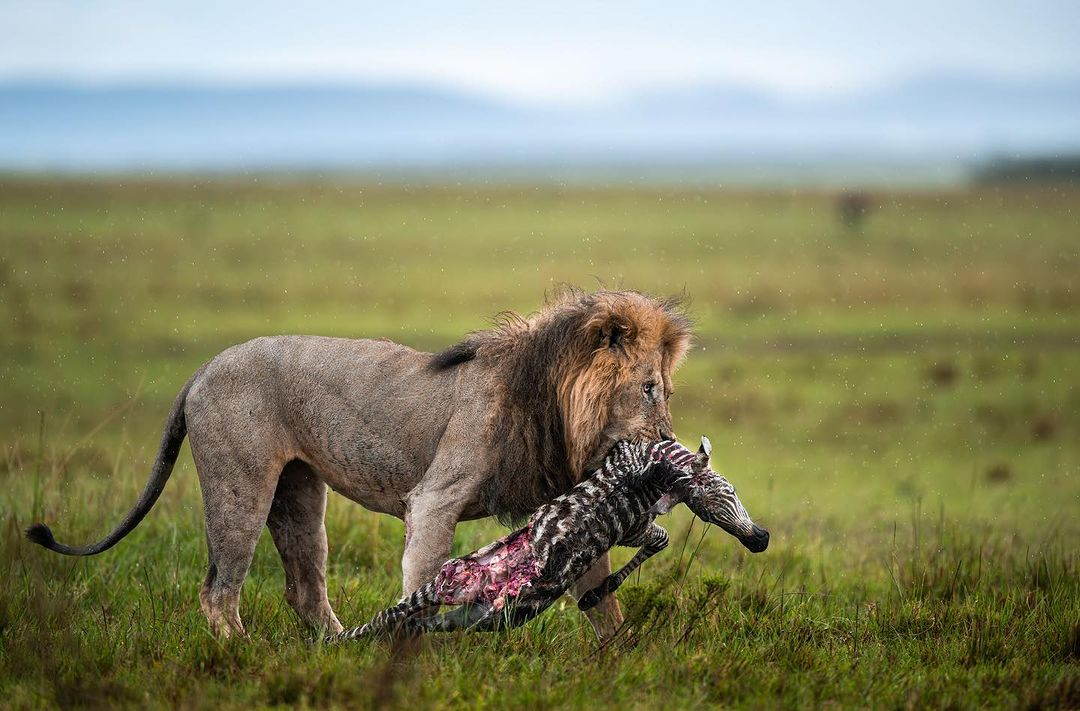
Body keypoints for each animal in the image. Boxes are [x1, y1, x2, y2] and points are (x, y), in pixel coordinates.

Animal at [31, 287, 699, 635]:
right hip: (239, 486)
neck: (549, 403)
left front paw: (619, 663)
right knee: (219, 590)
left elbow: (602, 600)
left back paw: (337, 647)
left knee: (304, 588)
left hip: (300, 496)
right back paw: (239, 653)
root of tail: (205, 367)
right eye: (649, 389)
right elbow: (423, 581)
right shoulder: (435, 498)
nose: (672, 446)